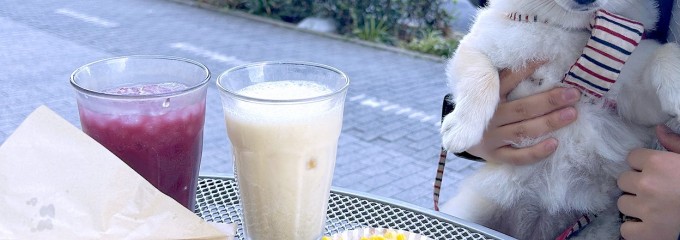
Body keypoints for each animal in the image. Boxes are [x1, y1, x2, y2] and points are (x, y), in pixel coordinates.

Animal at [438, 0, 680, 239]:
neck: (567, 28)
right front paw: (463, 128)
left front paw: (676, 89)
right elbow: (480, 76)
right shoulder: (478, 45)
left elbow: (665, 52)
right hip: (471, 209)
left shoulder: (637, 99)